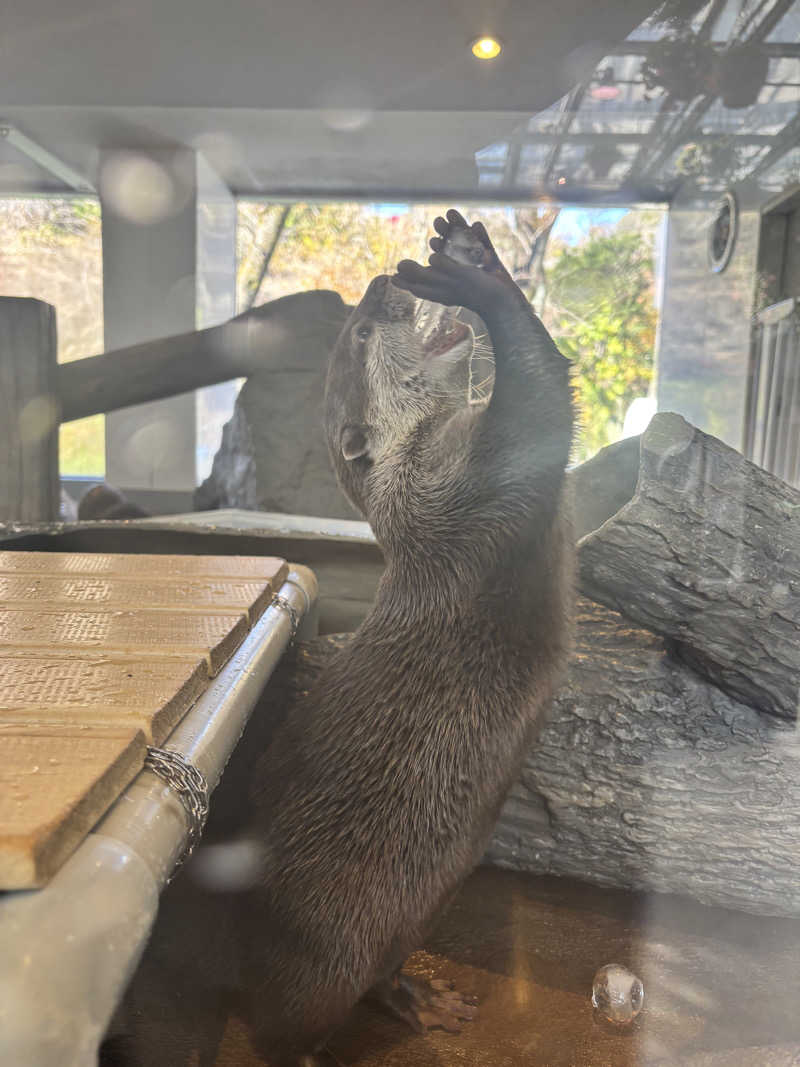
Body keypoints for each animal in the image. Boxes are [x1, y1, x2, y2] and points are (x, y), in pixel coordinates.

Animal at [101, 208, 576, 1067]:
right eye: (358, 330)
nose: (384, 284)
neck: (407, 484)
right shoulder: (463, 486)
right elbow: (538, 409)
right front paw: (481, 281)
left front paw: (471, 250)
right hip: (325, 944)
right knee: (281, 1023)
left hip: (409, 916)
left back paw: (424, 997)